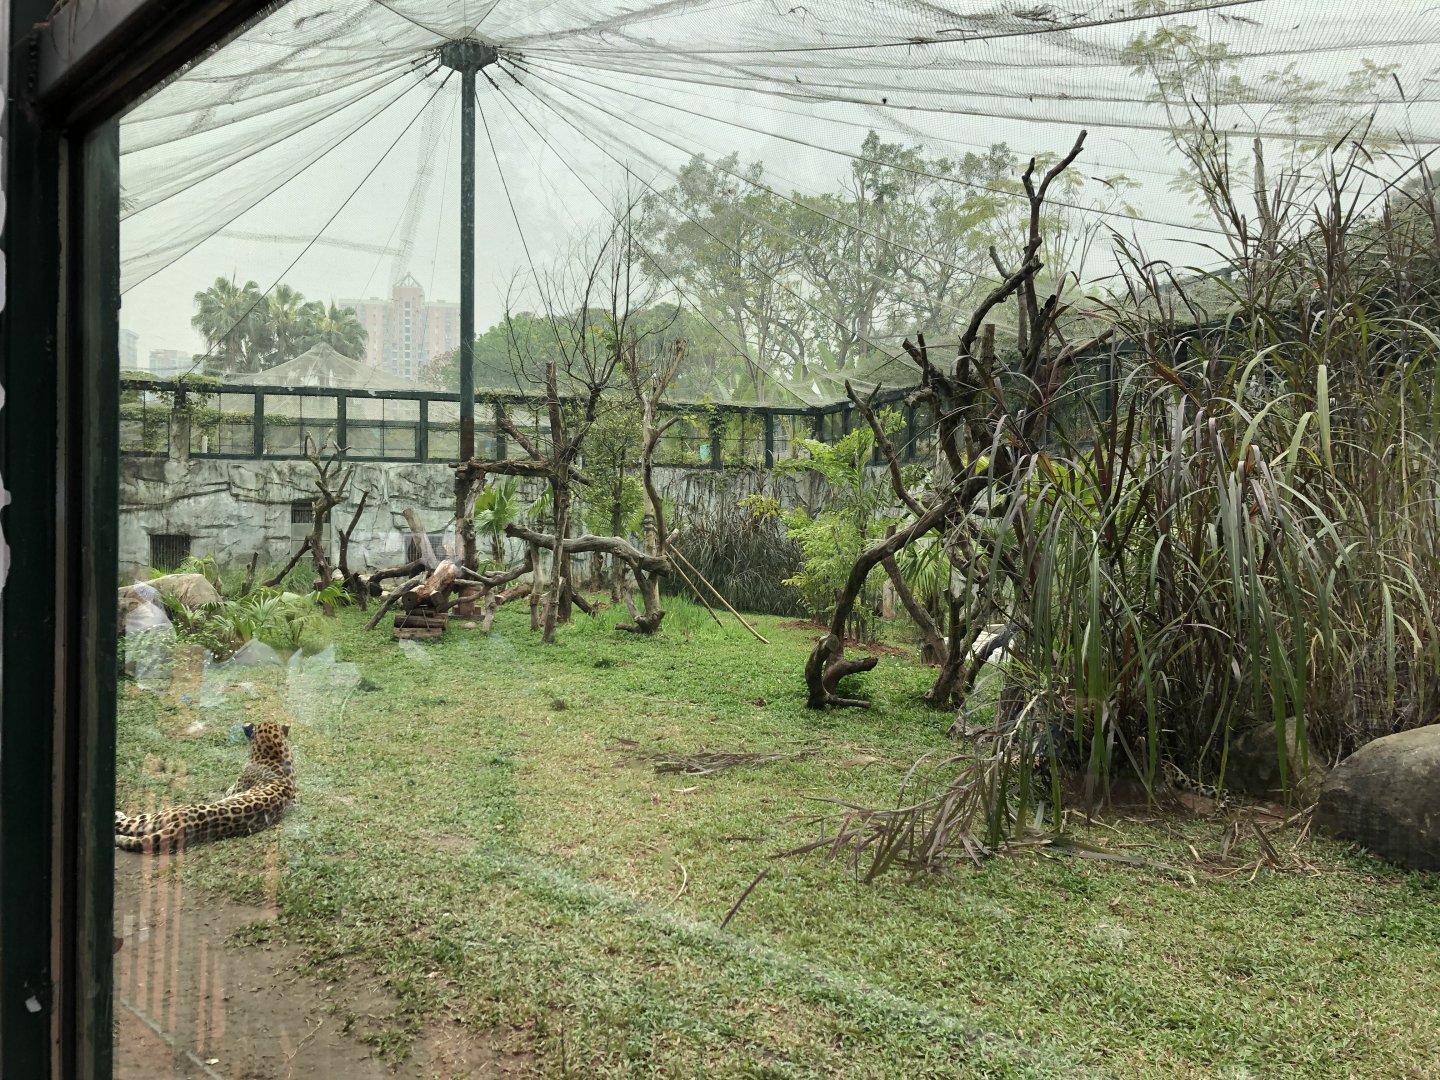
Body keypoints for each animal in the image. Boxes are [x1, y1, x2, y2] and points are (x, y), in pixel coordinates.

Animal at [114, 721, 295, 854]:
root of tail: (186, 825)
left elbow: (229, 790)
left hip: (158, 816)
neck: (276, 752)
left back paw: (118, 814)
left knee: (125, 824)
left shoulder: (237, 787)